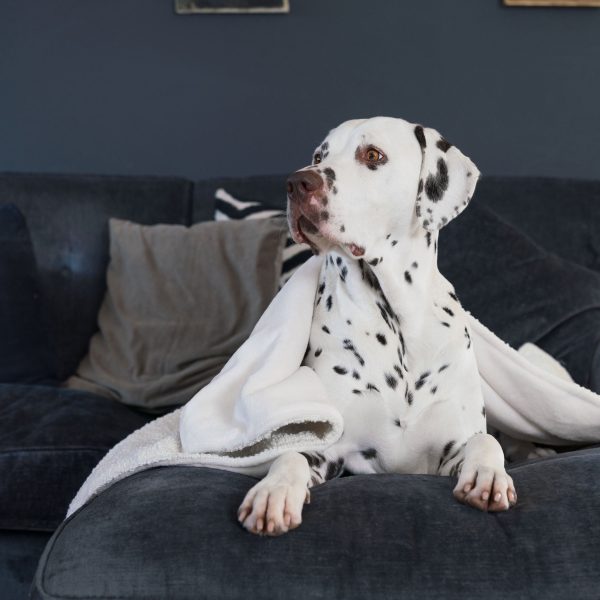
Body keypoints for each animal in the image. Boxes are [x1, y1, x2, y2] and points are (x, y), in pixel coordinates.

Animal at [237, 116, 516, 536]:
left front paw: (489, 476)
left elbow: (485, 443)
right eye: (318, 156)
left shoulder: (452, 444)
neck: (399, 323)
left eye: (373, 155)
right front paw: (274, 492)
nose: (297, 182)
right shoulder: (331, 451)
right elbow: (292, 457)